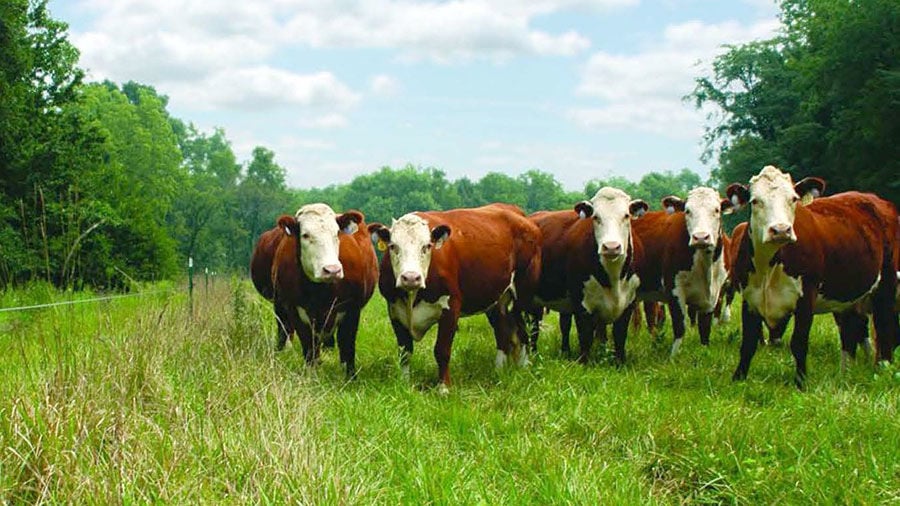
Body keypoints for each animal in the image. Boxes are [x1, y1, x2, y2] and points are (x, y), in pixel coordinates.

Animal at [271, 203, 379, 378]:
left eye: (336, 233)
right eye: (305, 235)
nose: (332, 270)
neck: (319, 293)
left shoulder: (352, 309)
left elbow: (347, 344)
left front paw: (350, 376)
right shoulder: (295, 310)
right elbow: (309, 346)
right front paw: (311, 376)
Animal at [368, 204, 542, 393]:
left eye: (427, 246)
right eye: (393, 246)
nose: (411, 277)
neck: (413, 296)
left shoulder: (451, 307)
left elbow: (442, 350)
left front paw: (443, 387)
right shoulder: (395, 311)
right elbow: (405, 351)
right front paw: (404, 384)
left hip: (523, 296)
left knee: (523, 332)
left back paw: (524, 368)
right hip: (498, 301)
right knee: (502, 332)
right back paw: (498, 370)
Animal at [527, 188, 648, 364]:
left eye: (626, 215)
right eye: (596, 217)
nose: (611, 247)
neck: (613, 278)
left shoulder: (629, 303)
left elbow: (620, 336)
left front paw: (620, 362)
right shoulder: (581, 303)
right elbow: (585, 336)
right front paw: (583, 363)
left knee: (559, 324)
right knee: (533, 326)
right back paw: (533, 354)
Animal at [631, 187, 734, 356]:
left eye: (716, 210)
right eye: (687, 211)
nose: (701, 237)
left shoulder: (713, 295)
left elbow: (705, 329)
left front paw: (704, 352)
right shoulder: (674, 290)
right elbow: (679, 326)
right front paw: (673, 357)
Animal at [727, 165, 900, 387]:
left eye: (793, 199)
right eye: (755, 200)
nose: (781, 230)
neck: (770, 266)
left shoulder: (806, 297)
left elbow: (799, 343)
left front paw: (801, 382)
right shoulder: (750, 299)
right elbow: (748, 343)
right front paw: (738, 378)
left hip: (886, 285)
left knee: (885, 325)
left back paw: (882, 368)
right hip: (850, 296)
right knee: (850, 333)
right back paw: (845, 374)